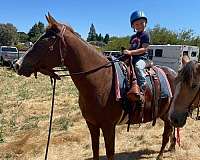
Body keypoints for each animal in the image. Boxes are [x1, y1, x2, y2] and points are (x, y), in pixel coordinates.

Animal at [14, 13, 176, 159]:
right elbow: (95, 149)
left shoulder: (108, 127)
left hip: (166, 115)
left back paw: (161, 154)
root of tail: (174, 73)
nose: (17, 65)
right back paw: (172, 147)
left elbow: (110, 153)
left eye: (46, 41)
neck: (100, 81)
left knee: (166, 133)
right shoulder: (92, 124)